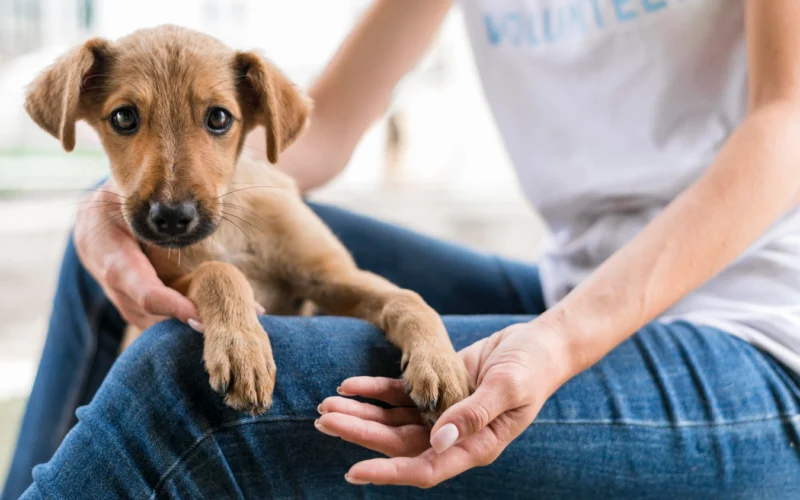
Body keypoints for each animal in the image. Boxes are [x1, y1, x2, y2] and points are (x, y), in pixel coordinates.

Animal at [26, 25, 476, 420]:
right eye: (123, 118)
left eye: (219, 118)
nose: (171, 218)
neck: (230, 230)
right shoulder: (166, 286)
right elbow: (218, 272)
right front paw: (243, 350)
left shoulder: (332, 278)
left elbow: (408, 299)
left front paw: (441, 364)